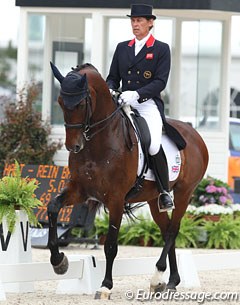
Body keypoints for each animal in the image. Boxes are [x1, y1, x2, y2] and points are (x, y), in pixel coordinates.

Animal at [48, 61, 208, 296]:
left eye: (81, 104)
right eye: (60, 102)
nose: (73, 146)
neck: (99, 143)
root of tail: (194, 133)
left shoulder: (115, 199)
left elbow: (110, 245)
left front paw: (105, 285)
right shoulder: (81, 190)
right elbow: (52, 207)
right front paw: (59, 261)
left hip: (184, 193)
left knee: (172, 230)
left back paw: (157, 277)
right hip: (153, 199)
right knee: (166, 230)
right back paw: (170, 281)